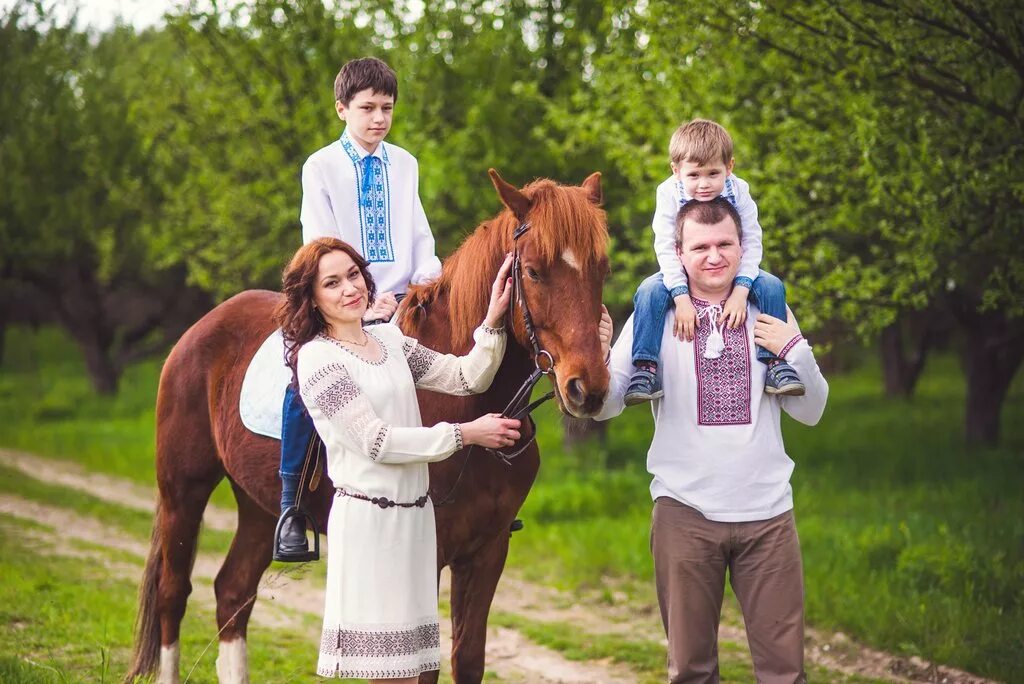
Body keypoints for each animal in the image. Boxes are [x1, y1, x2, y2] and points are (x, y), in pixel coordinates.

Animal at [125, 167, 606, 679]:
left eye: (601, 269)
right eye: (533, 271)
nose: (588, 388)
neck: (467, 406)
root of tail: (201, 329)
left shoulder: (488, 550)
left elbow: (469, 659)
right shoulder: (430, 551)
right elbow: (425, 667)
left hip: (257, 504)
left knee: (232, 591)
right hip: (183, 490)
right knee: (174, 593)